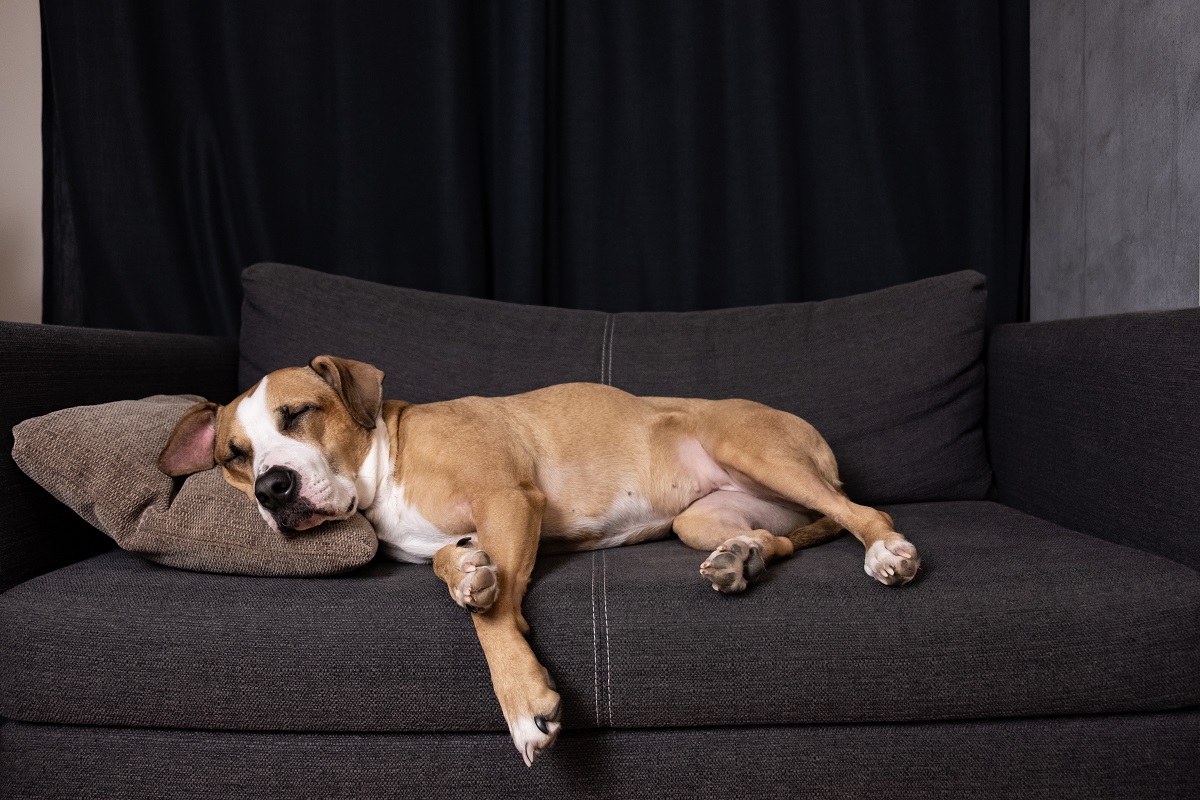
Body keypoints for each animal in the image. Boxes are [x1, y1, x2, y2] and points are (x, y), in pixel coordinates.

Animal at [157, 355, 916, 762]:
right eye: (235, 455)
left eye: (297, 414)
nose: (272, 488)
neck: (383, 461)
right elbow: (456, 566)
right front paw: (467, 573)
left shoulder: (508, 499)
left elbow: (491, 624)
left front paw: (526, 704)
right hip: (705, 517)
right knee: (781, 538)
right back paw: (741, 557)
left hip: (752, 449)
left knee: (864, 515)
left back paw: (886, 551)